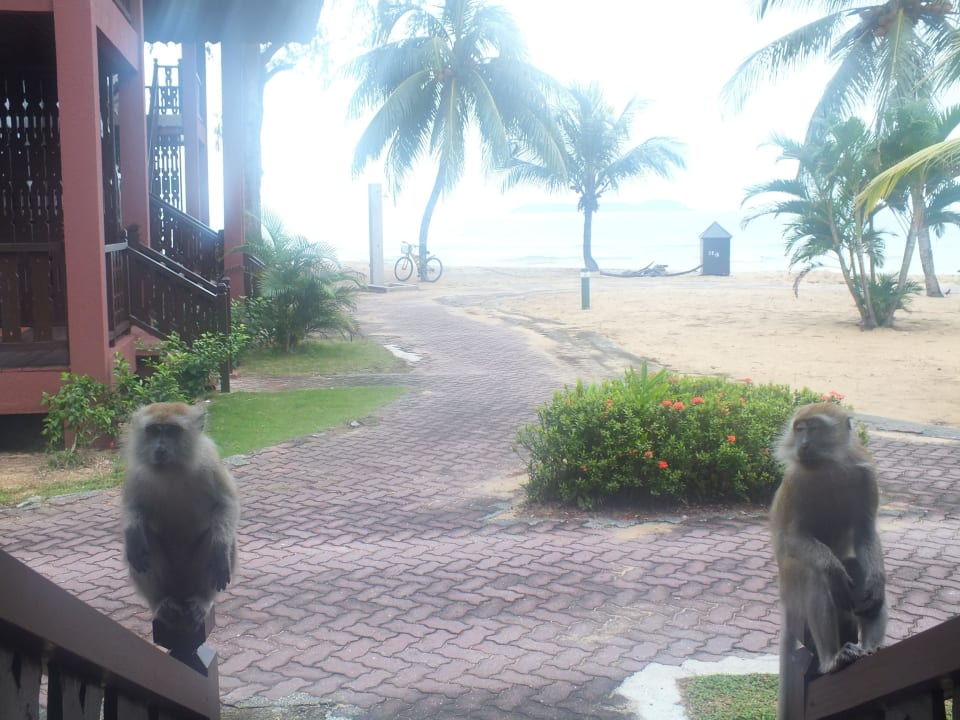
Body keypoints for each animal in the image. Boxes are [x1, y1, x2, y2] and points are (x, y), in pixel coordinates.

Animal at [121, 402, 239, 630]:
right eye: (153, 430)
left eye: (171, 431)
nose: (159, 449)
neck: (171, 469)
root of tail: (181, 593)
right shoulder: (136, 472)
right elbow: (133, 507)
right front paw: (131, 531)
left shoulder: (210, 461)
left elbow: (226, 504)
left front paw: (220, 549)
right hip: (172, 582)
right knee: (143, 542)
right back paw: (161, 602)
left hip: (190, 578)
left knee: (218, 538)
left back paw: (202, 599)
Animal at [771, 402, 886, 713]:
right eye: (800, 429)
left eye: (814, 428)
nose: (803, 444)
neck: (827, 466)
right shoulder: (795, 482)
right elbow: (791, 537)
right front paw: (830, 568)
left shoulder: (865, 475)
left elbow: (864, 531)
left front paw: (878, 580)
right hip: (790, 588)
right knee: (812, 577)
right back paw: (831, 660)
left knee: (857, 569)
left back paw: (871, 647)